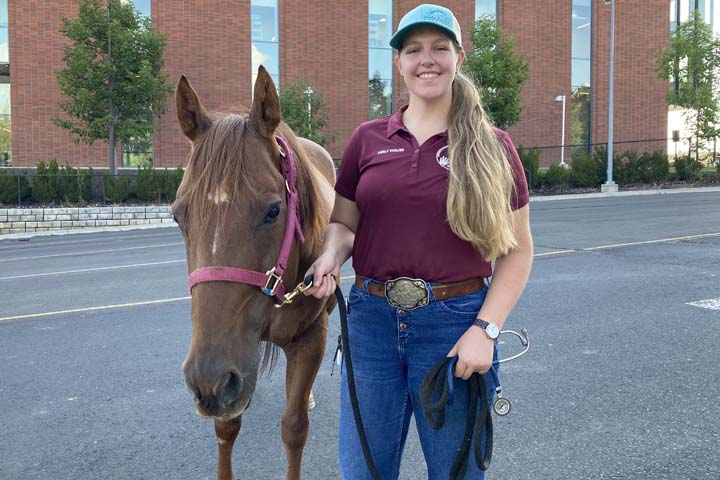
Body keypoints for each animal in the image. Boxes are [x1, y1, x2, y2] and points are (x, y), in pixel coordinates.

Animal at [174, 66, 337, 480]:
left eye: (274, 211)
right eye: (178, 215)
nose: (208, 378)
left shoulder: (312, 337)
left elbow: (294, 428)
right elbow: (226, 428)